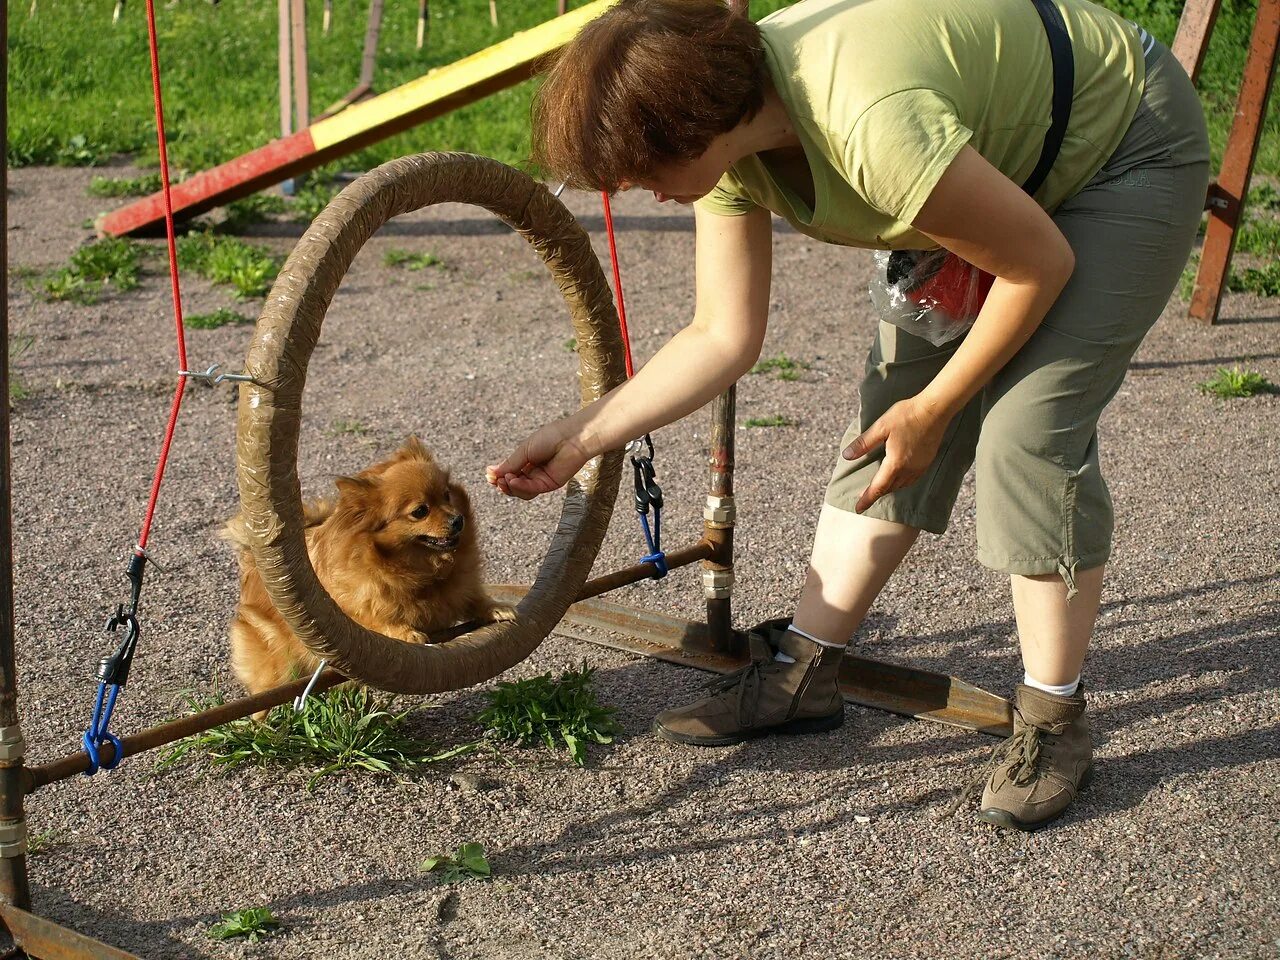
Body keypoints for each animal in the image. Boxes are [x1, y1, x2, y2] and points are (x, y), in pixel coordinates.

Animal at [227, 437, 512, 701]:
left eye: (446, 495)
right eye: (420, 511)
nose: (458, 519)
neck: (422, 569)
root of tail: (252, 562)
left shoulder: (458, 588)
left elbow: (473, 599)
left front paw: (496, 607)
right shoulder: (353, 608)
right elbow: (377, 617)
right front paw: (405, 631)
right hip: (275, 667)